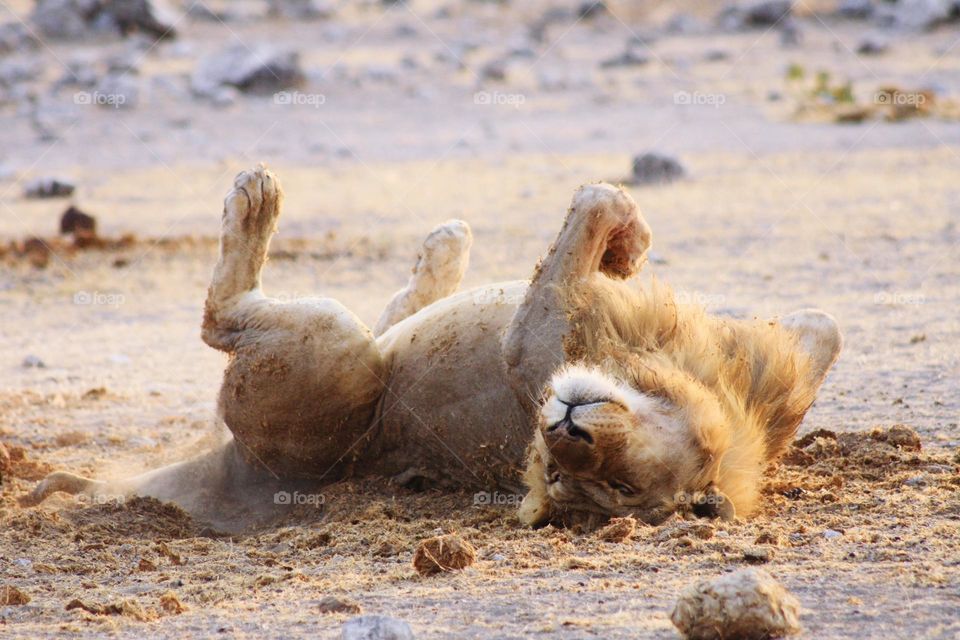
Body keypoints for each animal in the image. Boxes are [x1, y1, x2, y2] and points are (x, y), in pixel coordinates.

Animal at [24, 165, 841, 530]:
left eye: (612, 487)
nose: (565, 430)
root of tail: (234, 475)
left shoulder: (529, 344)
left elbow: (596, 199)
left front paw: (621, 241)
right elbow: (825, 327)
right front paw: (628, 252)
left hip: (335, 354)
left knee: (223, 319)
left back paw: (257, 200)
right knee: (395, 315)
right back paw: (444, 249)